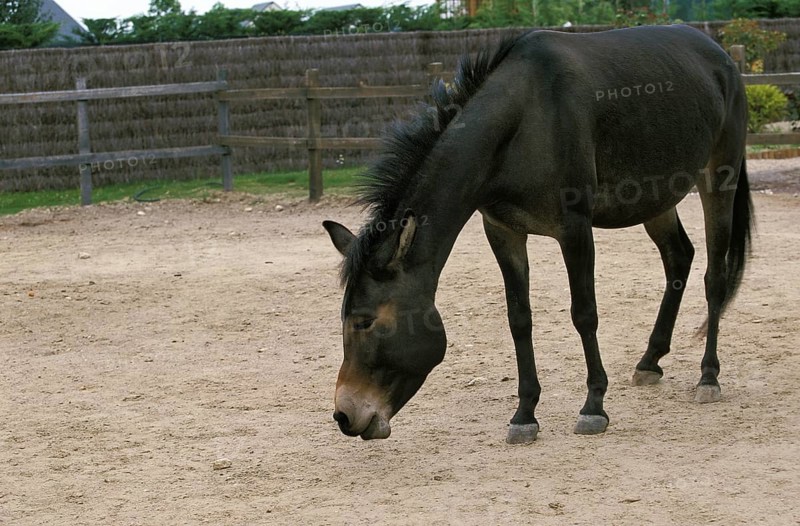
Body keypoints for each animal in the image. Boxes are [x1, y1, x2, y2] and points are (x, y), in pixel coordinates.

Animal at [323, 24, 753, 443]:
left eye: (364, 321)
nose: (345, 415)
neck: (522, 122)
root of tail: (721, 56)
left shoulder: (574, 229)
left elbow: (584, 313)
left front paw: (593, 407)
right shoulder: (504, 232)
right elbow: (519, 319)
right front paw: (525, 414)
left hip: (718, 178)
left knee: (715, 276)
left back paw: (708, 377)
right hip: (657, 198)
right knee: (679, 256)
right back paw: (650, 361)